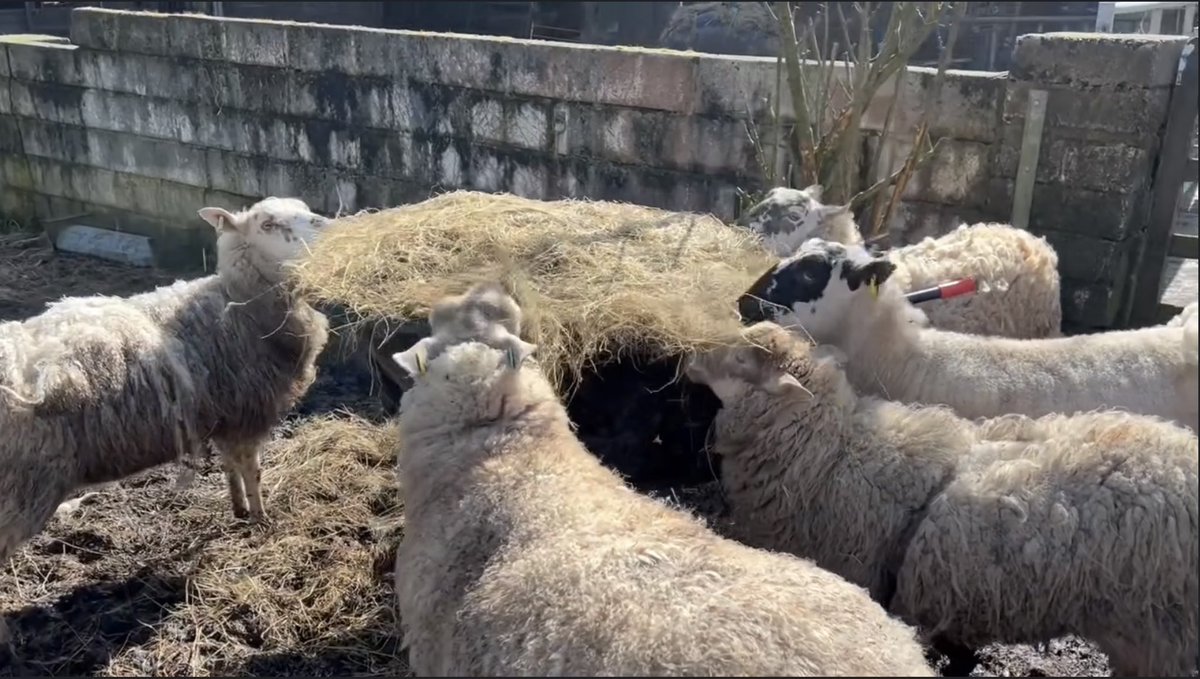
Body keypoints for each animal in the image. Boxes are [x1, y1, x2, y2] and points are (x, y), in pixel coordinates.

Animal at [0, 197, 331, 647]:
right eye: (267, 224)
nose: (329, 227)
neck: (239, 303)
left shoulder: (224, 417)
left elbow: (230, 469)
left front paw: (238, 509)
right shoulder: (247, 413)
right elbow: (253, 471)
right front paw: (261, 519)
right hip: (19, 489)